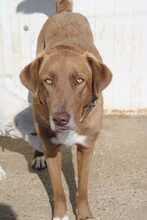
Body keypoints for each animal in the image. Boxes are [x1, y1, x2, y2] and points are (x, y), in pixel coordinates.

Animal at [19, 0, 112, 219]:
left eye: (79, 80)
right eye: (48, 81)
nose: (60, 119)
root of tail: (64, 13)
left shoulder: (86, 147)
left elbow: (82, 188)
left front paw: (84, 214)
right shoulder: (52, 147)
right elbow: (58, 189)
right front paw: (60, 214)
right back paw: (38, 157)